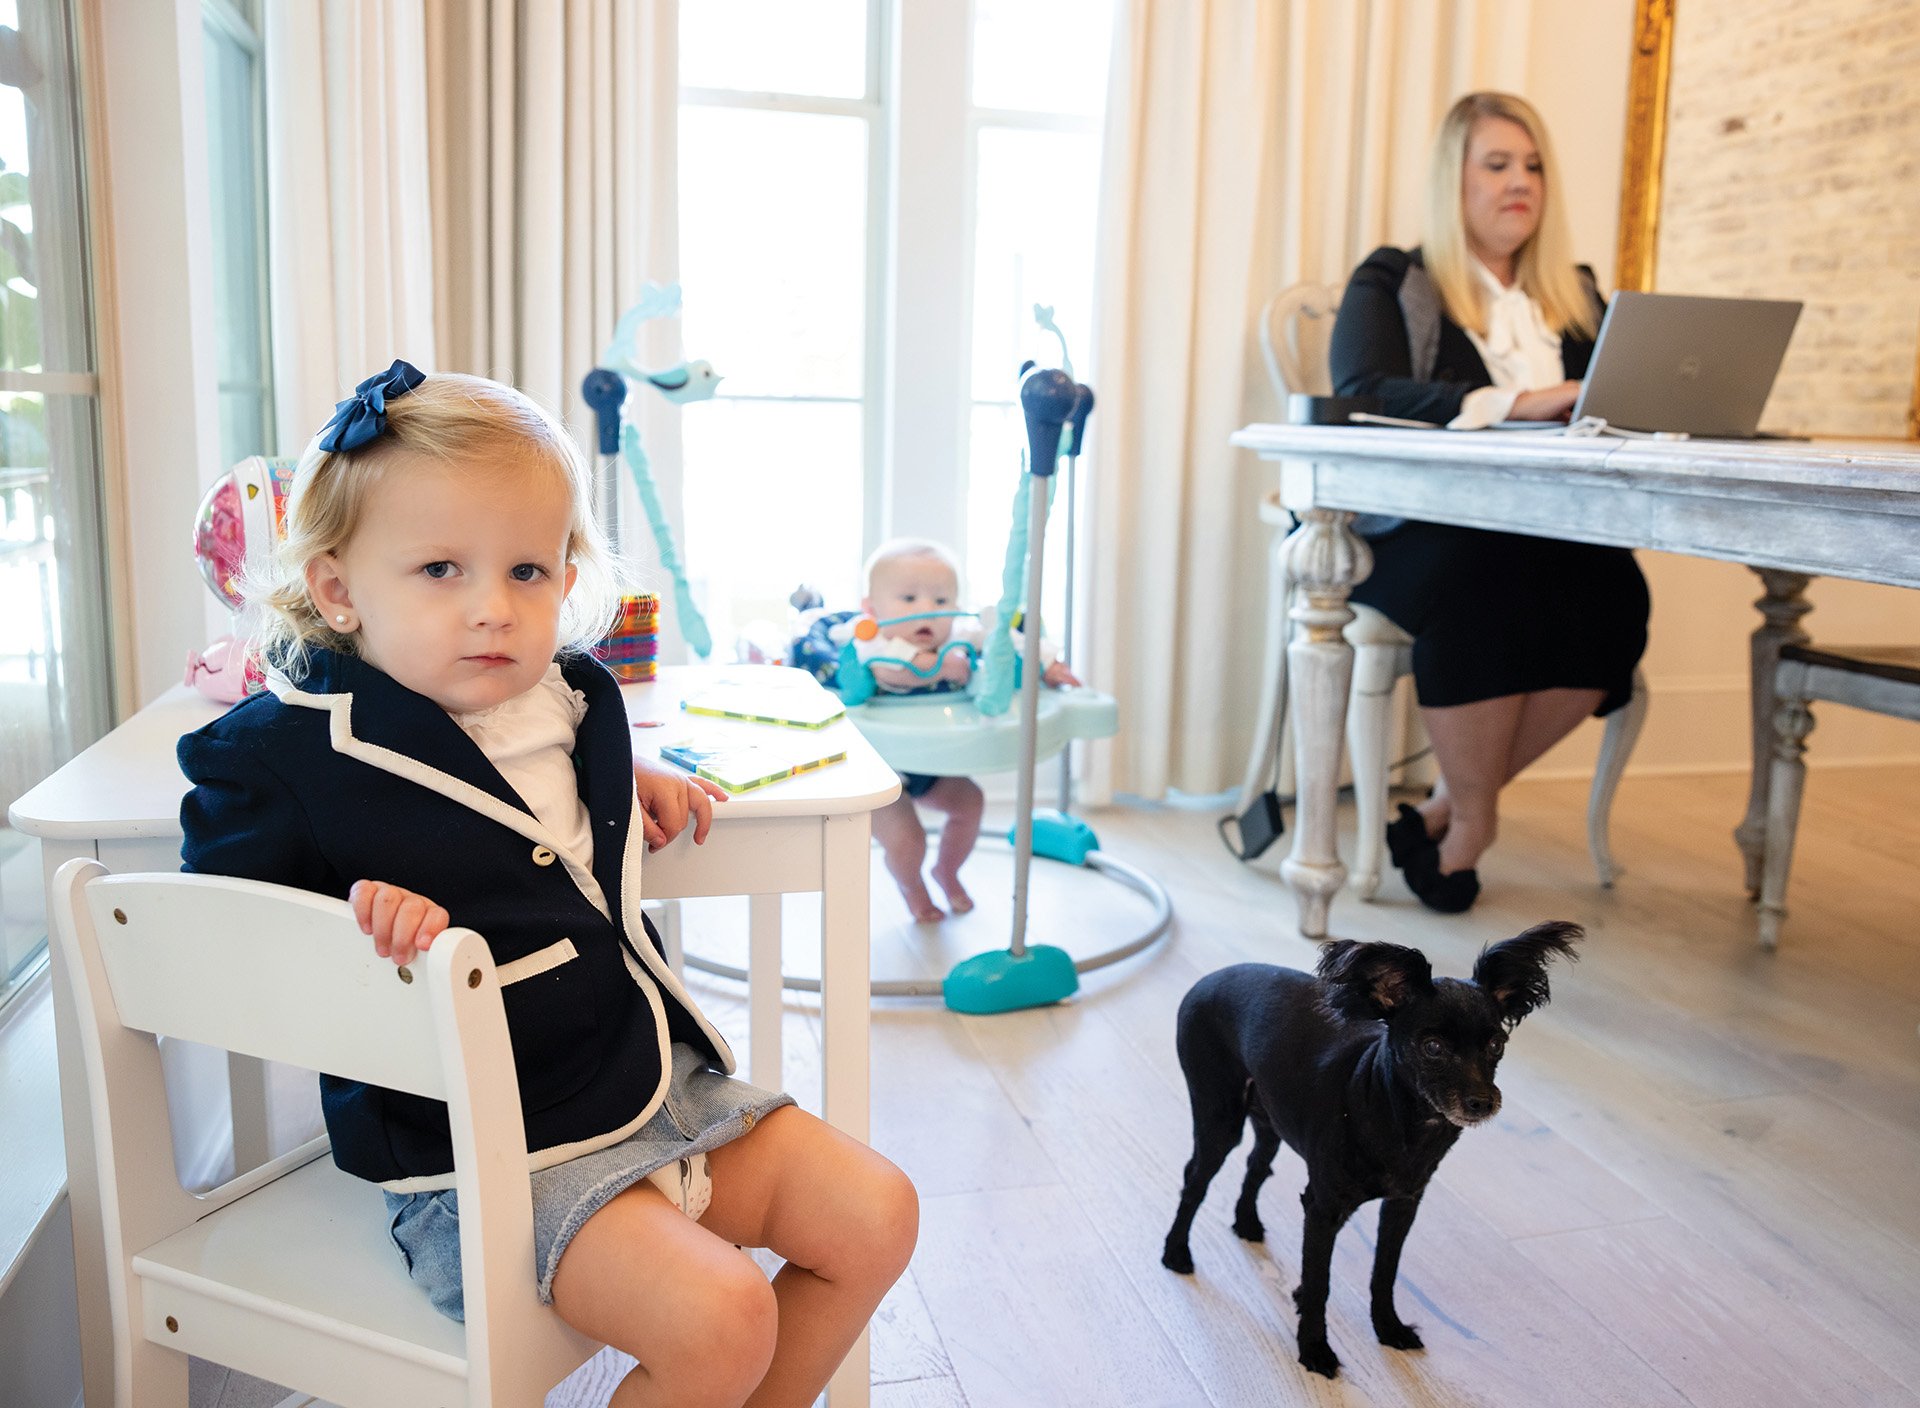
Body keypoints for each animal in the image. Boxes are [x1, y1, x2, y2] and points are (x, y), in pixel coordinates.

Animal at [1159, 922, 1582, 1375]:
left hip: (1269, 1119)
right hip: (1218, 1118)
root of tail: (1208, 979)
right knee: (1194, 1180)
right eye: (1433, 1047)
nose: (1482, 1102)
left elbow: (1384, 1273)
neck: (1400, 1120)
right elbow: (1320, 1284)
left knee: (1257, 1164)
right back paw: (1176, 1252)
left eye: (1496, 1045)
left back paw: (1247, 1223)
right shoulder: (1323, 1207)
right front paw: (1314, 1348)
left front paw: (1388, 1328)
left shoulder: (1402, 1205)